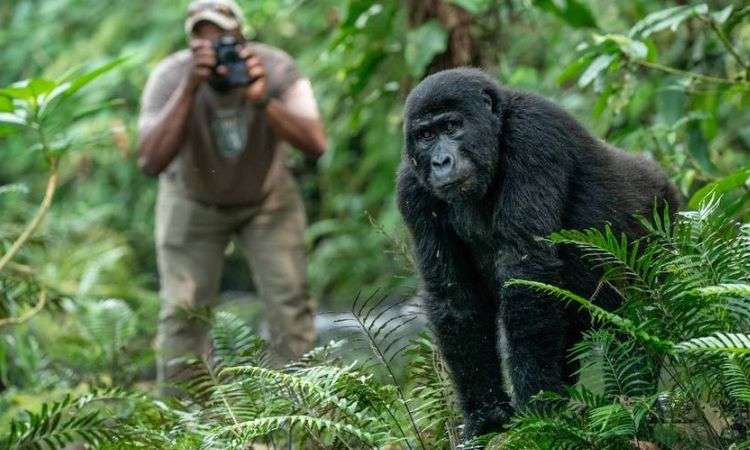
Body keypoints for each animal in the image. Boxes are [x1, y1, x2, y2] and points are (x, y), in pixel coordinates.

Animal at [400, 68, 680, 438]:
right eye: (426, 135)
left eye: (452, 126)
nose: (440, 161)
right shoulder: (410, 186)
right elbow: (454, 295)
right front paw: (486, 413)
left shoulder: (533, 134)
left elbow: (527, 270)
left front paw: (536, 410)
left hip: (663, 221)